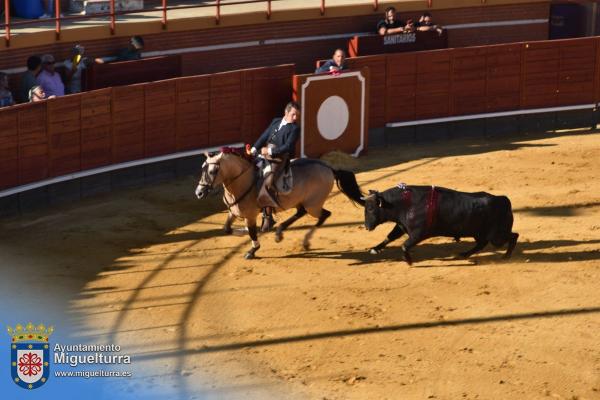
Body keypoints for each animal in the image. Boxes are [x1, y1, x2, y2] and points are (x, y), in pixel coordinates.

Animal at [197, 150, 364, 260]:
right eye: (202, 168)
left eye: (212, 171)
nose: (199, 193)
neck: (242, 181)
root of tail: (329, 168)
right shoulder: (233, 212)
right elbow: (227, 229)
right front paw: (246, 232)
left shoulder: (250, 215)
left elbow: (251, 232)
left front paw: (252, 250)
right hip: (301, 201)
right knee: (301, 213)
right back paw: (279, 233)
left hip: (313, 204)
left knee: (324, 215)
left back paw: (304, 241)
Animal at [364, 185, 516, 266]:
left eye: (371, 208)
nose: (366, 226)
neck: (405, 204)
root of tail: (503, 200)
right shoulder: (401, 226)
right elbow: (389, 237)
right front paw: (375, 249)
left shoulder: (417, 234)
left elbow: (404, 245)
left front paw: (409, 261)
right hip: (480, 233)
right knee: (481, 244)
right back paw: (464, 254)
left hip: (497, 236)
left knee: (513, 236)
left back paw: (506, 256)